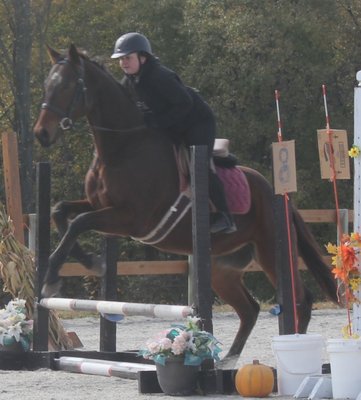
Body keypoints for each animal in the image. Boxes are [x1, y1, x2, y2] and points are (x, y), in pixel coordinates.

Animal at [31, 45, 338, 360]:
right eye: (46, 85)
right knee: (249, 309)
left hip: (271, 252)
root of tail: (277, 193)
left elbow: (79, 223)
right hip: (222, 270)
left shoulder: (131, 219)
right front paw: (91, 261)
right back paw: (228, 358)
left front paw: (53, 278)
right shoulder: (99, 206)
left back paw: (294, 349)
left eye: (67, 86)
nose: (41, 133)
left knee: (300, 299)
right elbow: (61, 212)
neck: (123, 148)